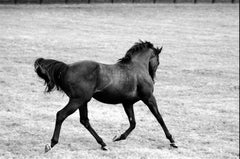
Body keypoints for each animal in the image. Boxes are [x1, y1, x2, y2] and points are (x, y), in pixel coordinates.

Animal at [33, 40, 177, 152]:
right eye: (158, 61)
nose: (153, 78)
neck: (137, 68)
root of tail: (67, 67)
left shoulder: (127, 103)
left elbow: (133, 123)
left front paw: (118, 137)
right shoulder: (149, 98)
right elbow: (159, 117)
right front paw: (172, 141)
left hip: (83, 101)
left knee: (84, 120)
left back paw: (103, 144)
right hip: (77, 100)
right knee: (61, 115)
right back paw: (51, 144)